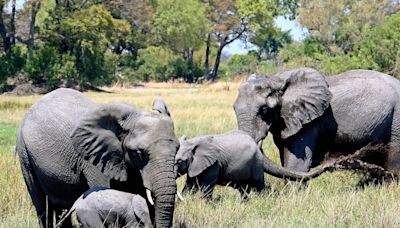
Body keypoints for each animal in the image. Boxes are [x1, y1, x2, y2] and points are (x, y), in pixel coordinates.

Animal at [175, 130, 332, 200]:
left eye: (179, 161)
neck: (194, 142)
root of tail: (258, 149)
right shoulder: (195, 166)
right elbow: (190, 184)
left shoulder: (213, 165)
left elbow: (206, 186)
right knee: (243, 189)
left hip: (255, 165)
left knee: (258, 186)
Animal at [233, 68, 400, 179]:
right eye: (234, 108)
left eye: (264, 109)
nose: (337, 162)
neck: (275, 81)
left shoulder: (308, 125)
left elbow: (296, 165)